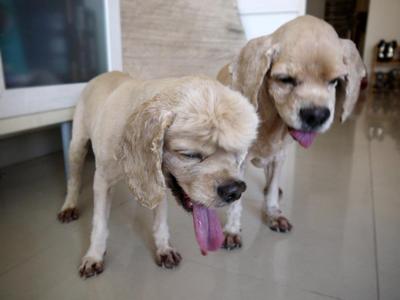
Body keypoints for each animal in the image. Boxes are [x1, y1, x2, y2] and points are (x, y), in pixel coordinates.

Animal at [57, 71, 260, 278]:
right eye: (190, 154)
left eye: (236, 153)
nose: (235, 191)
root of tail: (104, 74)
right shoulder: (102, 181)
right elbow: (99, 223)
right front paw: (94, 256)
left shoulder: (157, 180)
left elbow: (160, 220)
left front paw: (164, 248)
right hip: (77, 144)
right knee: (73, 180)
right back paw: (69, 206)